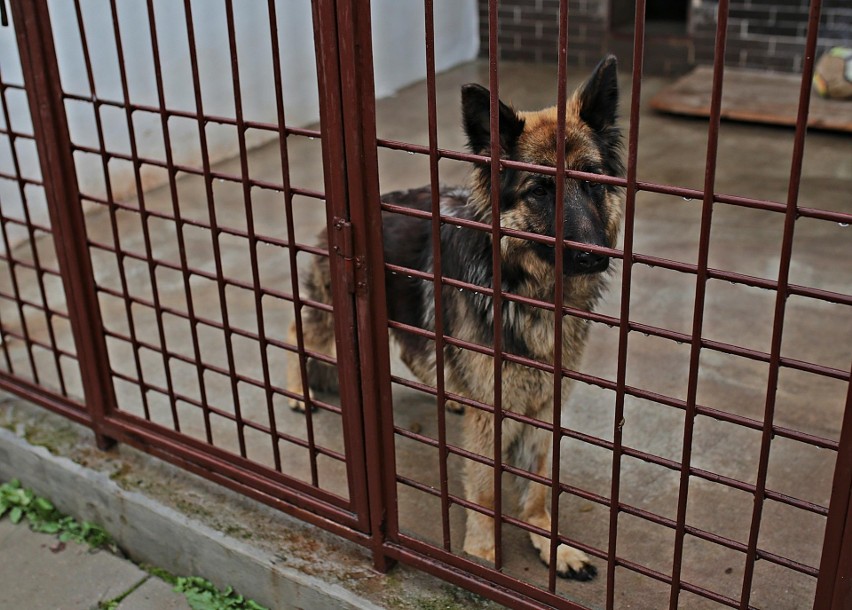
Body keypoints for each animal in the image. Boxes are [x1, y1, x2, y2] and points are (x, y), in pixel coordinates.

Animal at [284, 55, 620, 576]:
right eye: (540, 191)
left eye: (592, 182)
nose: (594, 256)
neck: (528, 291)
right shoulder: (492, 413)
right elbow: (483, 489)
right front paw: (481, 553)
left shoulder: (544, 406)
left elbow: (539, 488)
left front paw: (551, 543)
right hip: (333, 321)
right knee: (296, 329)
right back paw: (298, 391)